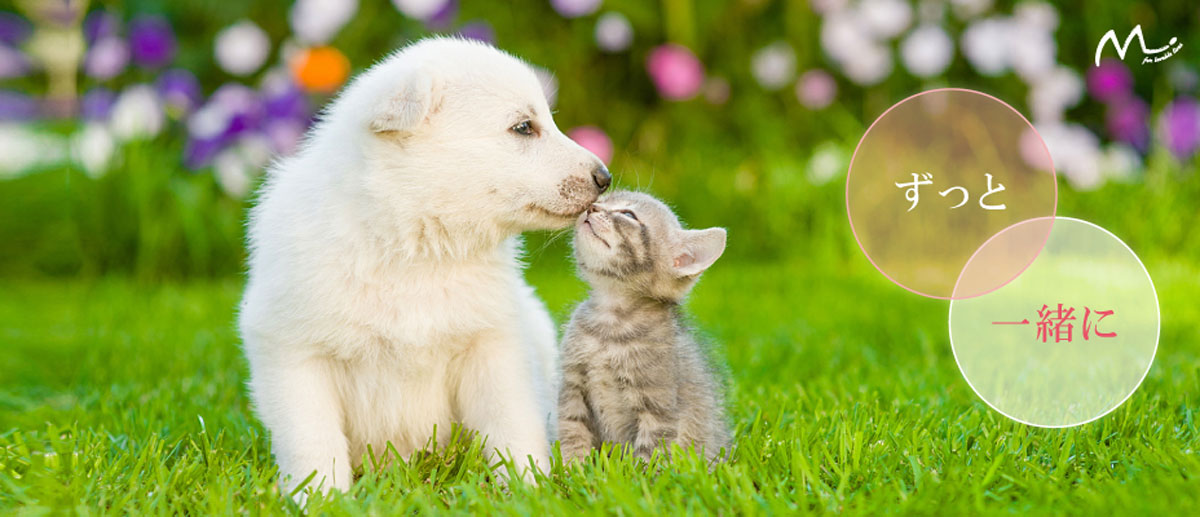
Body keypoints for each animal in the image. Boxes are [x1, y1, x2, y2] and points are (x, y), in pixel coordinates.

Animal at [236, 37, 609, 499]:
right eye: (524, 127)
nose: (605, 177)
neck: (413, 246)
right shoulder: (294, 353)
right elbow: (313, 439)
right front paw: (319, 497)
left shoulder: (493, 347)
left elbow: (513, 425)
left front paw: (529, 490)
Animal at [554, 190, 729, 465]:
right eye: (602, 200)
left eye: (628, 214)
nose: (591, 207)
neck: (611, 322)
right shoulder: (572, 389)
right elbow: (572, 433)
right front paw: (571, 471)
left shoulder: (657, 405)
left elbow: (649, 453)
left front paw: (639, 476)